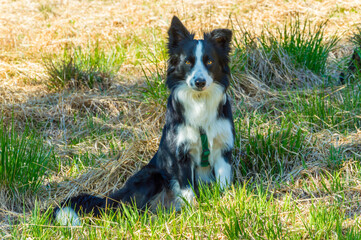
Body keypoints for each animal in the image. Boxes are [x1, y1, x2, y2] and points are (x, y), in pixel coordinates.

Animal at [53, 15, 233, 226]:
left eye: (210, 61)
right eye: (188, 62)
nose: (199, 82)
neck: (200, 101)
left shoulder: (223, 148)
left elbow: (223, 181)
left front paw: (224, 202)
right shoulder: (181, 154)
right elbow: (187, 190)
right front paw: (193, 213)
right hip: (151, 176)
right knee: (125, 209)